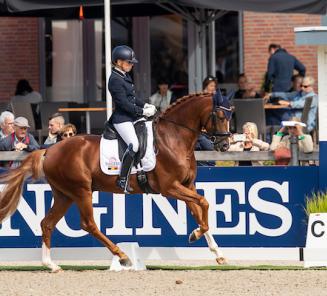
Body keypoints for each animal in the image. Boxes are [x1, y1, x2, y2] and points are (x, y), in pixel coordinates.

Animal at [0, 92, 232, 270]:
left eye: (230, 114)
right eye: (220, 115)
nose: (225, 145)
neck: (173, 138)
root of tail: (49, 150)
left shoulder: (186, 186)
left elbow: (198, 211)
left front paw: (216, 252)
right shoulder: (170, 188)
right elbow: (204, 203)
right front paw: (196, 234)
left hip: (64, 194)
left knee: (47, 223)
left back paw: (51, 265)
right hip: (81, 191)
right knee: (88, 224)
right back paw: (122, 256)